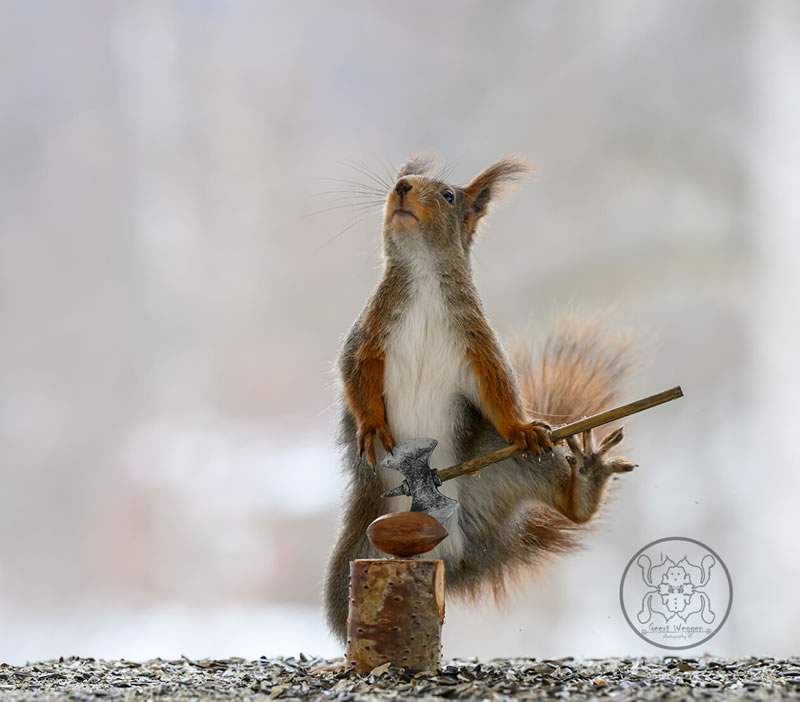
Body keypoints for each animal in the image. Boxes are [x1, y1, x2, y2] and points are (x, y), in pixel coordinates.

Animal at [322, 157, 636, 648]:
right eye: (400, 179)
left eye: (449, 195)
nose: (401, 187)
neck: (424, 274)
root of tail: (458, 556)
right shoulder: (368, 336)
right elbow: (354, 375)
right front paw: (371, 426)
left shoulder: (477, 342)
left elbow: (498, 388)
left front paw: (522, 426)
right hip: (359, 548)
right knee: (344, 611)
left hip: (503, 462)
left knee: (565, 501)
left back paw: (584, 479)